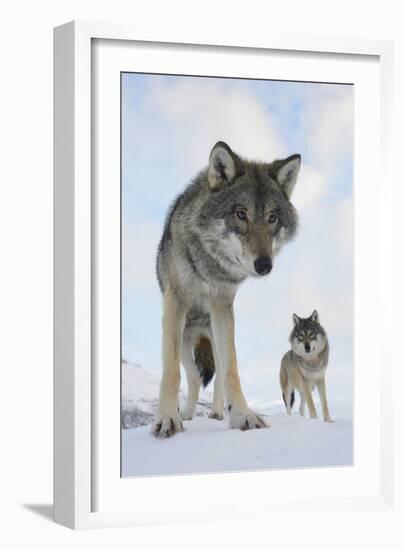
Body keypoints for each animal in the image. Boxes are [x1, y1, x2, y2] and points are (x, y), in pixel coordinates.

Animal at [153, 142, 302, 440]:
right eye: (241, 213)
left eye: (272, 218)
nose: (264, 265)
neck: (210, 265)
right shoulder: (176, 303)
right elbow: (171, 371)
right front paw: (167, 418)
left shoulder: (222, 307)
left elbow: (232, 371)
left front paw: (243, 415)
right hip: (185, 339)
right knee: (194, 377)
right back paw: (186, 414)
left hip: (214, 336)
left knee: (219, 374)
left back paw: (218, 413)